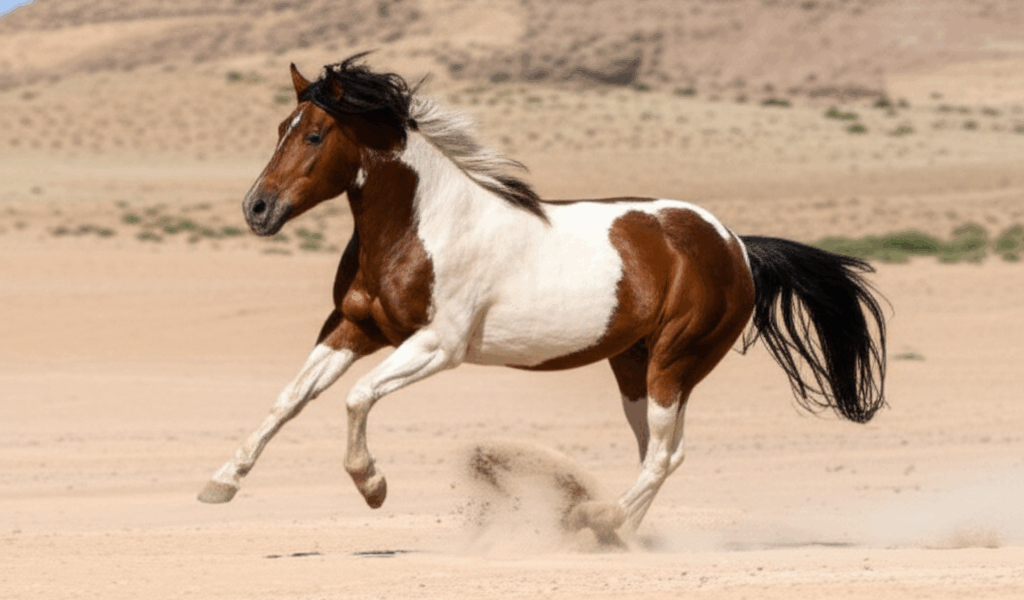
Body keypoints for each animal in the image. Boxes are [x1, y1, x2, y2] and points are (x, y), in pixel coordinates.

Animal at [198, 54, 887, 537]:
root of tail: (737, 244)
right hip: (632, 365)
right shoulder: (353, 327)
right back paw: (616, 532)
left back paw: (598, 522)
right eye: (280, 128)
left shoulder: (438, 345)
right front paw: (220, 483)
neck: (422, 224)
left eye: (314, 135)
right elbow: (290, 399)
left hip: (676, 360)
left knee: (667, 456)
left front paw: (373, 485)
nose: (257, 209)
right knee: (658, 452)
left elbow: (356, 397)